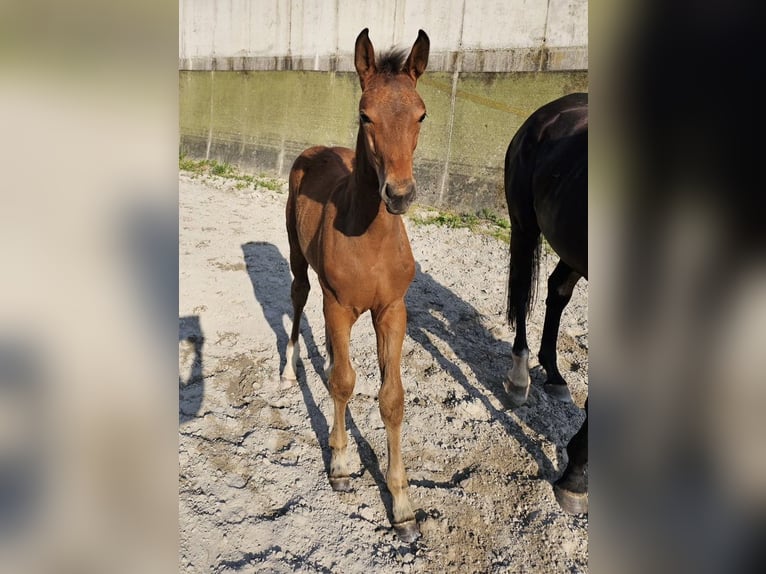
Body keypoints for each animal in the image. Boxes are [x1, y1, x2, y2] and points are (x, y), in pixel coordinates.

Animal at [282, 28, 428, 544]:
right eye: (365, 114)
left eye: (421, 113)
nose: (399, 194)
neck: (370, 238)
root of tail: (315, 150)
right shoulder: (339, 305)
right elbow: (344, 381)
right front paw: (342, 465)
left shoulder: (393, 310)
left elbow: (392, 398)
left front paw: (402, 505)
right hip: (299, 261)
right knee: (298, 298)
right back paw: (289, 370)